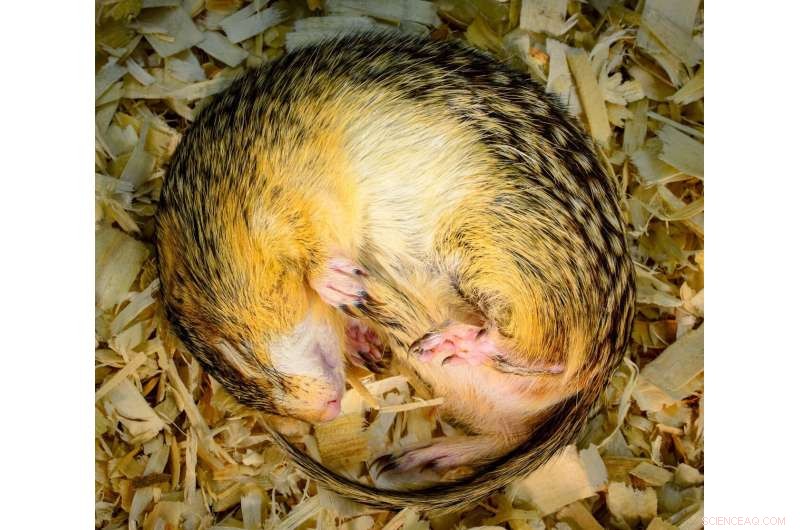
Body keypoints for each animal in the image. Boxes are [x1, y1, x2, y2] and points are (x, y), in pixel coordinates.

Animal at [156, 33, 635, 511]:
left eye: (231, 354)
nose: (327, 412)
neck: (224, 201)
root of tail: (605, 367)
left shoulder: (294, 198)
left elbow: (317, 256)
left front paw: (339, 284)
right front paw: (359, 334)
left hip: (492, 256)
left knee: (549, 354)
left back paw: (451, 339)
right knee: (512, 427)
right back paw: (417, 456)